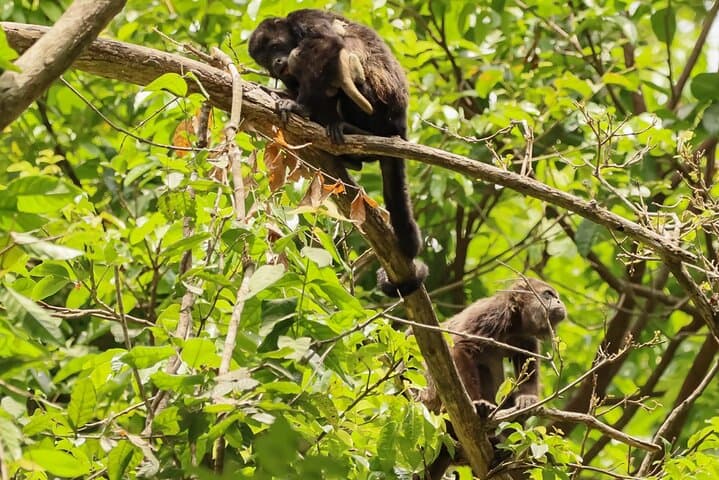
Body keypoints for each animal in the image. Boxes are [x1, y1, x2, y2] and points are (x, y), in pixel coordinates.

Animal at [248, 9, 427, 297]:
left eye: (275, 47)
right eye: (264, 60)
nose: (276, 62)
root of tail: (399, 127)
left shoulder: (305, 19)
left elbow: (327, 45)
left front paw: (300, 106)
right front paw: (280, 92)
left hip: (377, 109)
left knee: (331, 54)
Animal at [415, 278, 567, 479]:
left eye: (556, 296)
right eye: (548, 294)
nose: (559, 301)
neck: (515, 325)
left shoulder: (527, 337)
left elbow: (528, 363)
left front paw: (528, 399)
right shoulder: (492, 314)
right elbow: (461, 348)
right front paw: (476, 404)